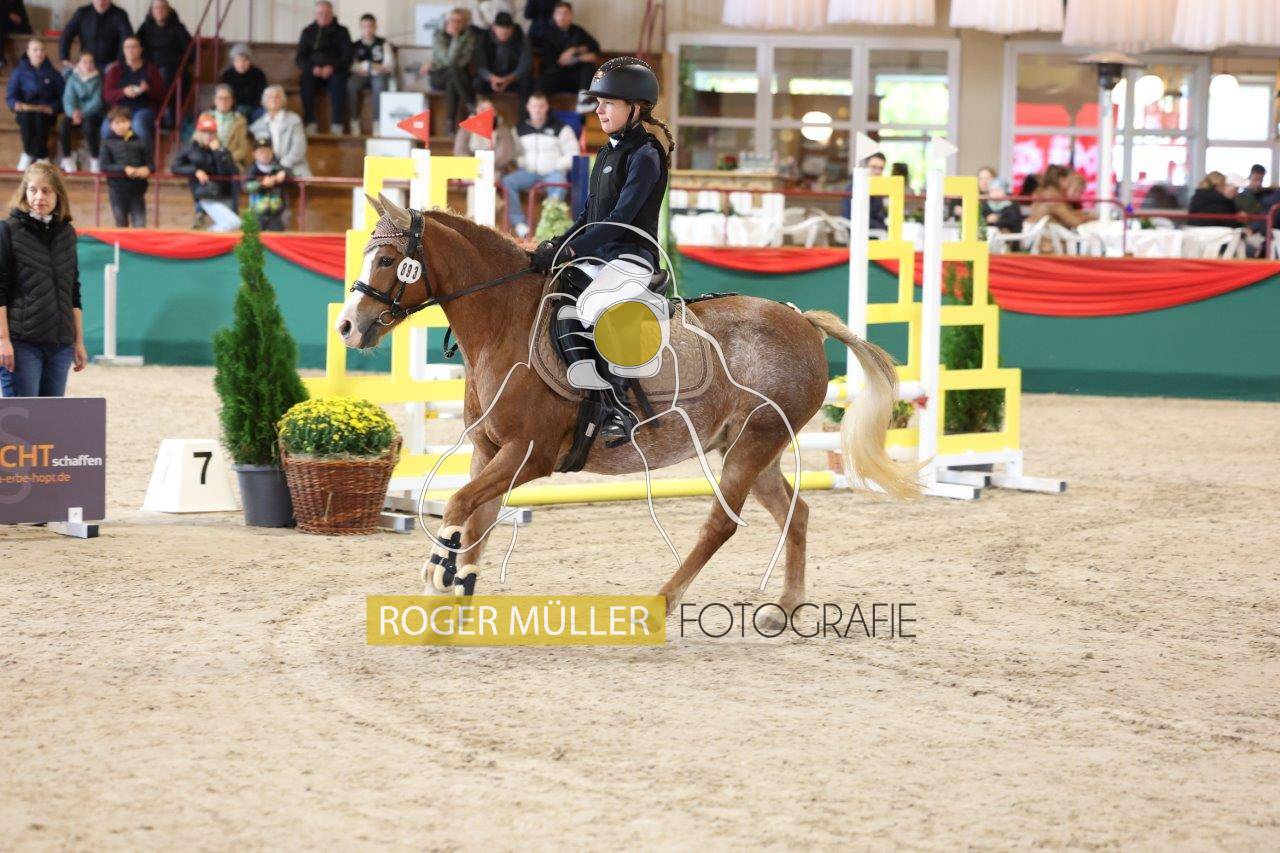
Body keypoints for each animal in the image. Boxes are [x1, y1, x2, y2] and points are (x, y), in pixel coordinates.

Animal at [336, 193, 918, 616]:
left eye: (387, 259)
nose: (347, 327)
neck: (505, 323)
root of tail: (803, 321)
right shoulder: (488, 449)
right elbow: (476, 519)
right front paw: (457, 594)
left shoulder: (529, 453)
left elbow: (459, 505)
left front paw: (438, 577)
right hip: (753, 446)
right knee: (795, 512)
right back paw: (787, 606)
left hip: (752, 445)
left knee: (721, 525)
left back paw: (661, 602)